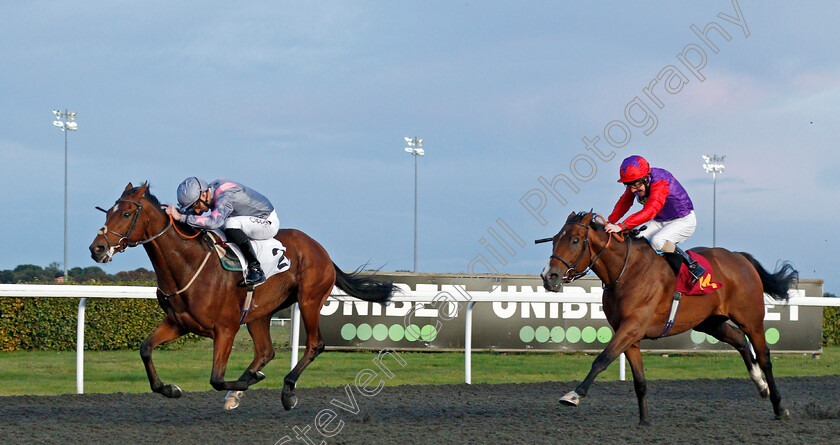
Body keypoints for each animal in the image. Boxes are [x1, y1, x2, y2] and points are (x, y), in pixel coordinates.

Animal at [88, 183, 398, 410]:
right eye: (107, 213)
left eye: (126, 214)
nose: (97, 248)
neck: (188, 265)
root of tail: (320, 250)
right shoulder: (179, 323)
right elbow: (145, 349)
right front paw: (170, 388)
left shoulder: (225, 329)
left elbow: (216, 378)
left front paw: (246, 384)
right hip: (260, 312)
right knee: (266, 351)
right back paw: (247, 382)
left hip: (310, 299)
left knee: (314, 345)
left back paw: (286, 391)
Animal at [540, 210, 796, 424]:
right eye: (554, 239)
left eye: (574, 240)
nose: (548, 277)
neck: (625, 272)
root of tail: (739, 257)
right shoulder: (629, 334)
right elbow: (639, 380)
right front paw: (644, 421)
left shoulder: (632, 326)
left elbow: (602, 359)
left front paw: (574, 395)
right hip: (709, 322)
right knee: (739, 340)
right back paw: (761, 385)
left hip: (751, 319)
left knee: (764, 357)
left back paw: (779, 406)